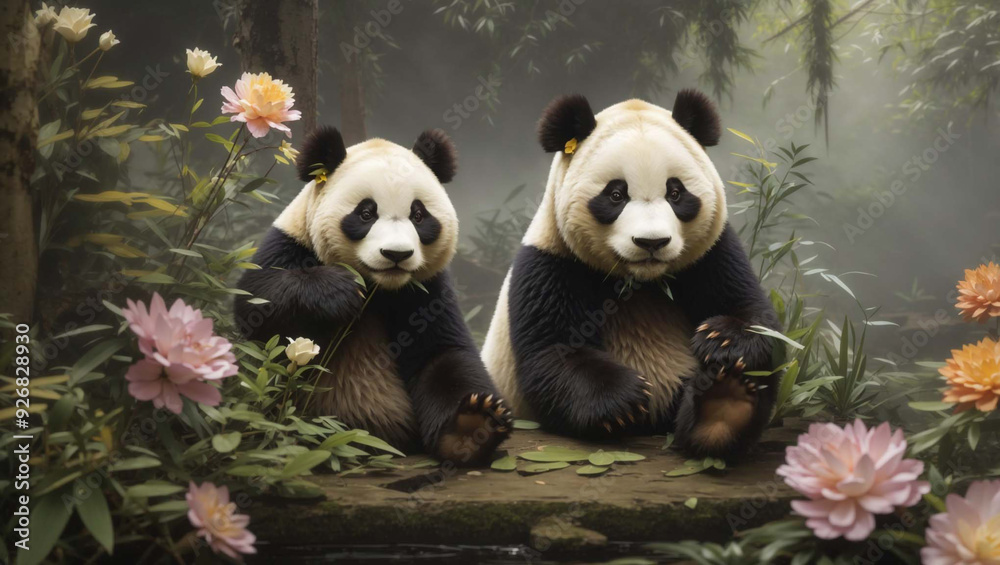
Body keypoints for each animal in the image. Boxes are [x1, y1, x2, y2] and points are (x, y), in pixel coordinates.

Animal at [234, 127, 512, 466]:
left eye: (418, 215)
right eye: (366, 213)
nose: (396, 254)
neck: (380, 288)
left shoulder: (426, 290)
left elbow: (443, 355)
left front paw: (470, 429)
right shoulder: (292, 244)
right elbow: (256, 302)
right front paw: (337, 292)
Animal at [482, 91, 780, 458]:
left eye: (676, 192)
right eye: (616, 194)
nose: (652, 242)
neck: (640, 281)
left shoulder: (711, 255)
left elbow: (755, 315)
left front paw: (723, 339)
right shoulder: (551, 262)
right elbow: (553, 352)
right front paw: (620, 400)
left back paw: (724, 404)